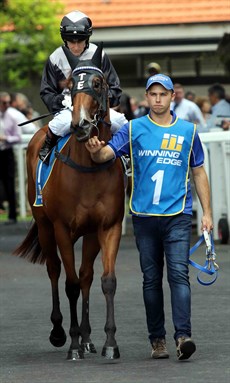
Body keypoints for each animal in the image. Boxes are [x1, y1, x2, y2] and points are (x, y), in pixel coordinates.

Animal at [13, 45, 125, 364]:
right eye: (71, 86)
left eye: (98, 84)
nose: (81, 124)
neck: (88, 168)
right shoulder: (62, 228)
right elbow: (70, 284)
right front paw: (73, 345)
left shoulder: (108, 227)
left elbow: (105, 280)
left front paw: (108, 343)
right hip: (45, 227)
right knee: (54, 270)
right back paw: (60, 333)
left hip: (88, 235)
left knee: (86, 276)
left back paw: (87, 339)